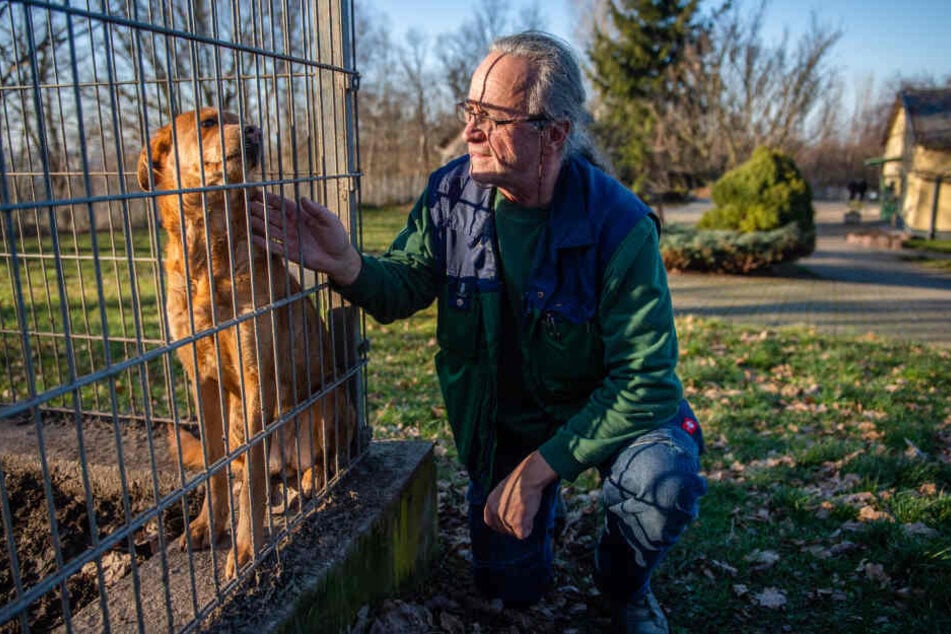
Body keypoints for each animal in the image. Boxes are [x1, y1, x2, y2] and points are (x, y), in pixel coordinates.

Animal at [137, 110, 354, 576]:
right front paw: (206, 525)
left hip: (327, 404)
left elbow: (253, 475)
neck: (207, 250)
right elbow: (215, 468)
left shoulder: (257, 379)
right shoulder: (203, 383)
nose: (254, 130)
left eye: (241, 119)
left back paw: (307, 481)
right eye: (207, 122)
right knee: (246, 469)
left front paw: (246, 550)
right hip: (238, 418)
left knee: (307, 464)